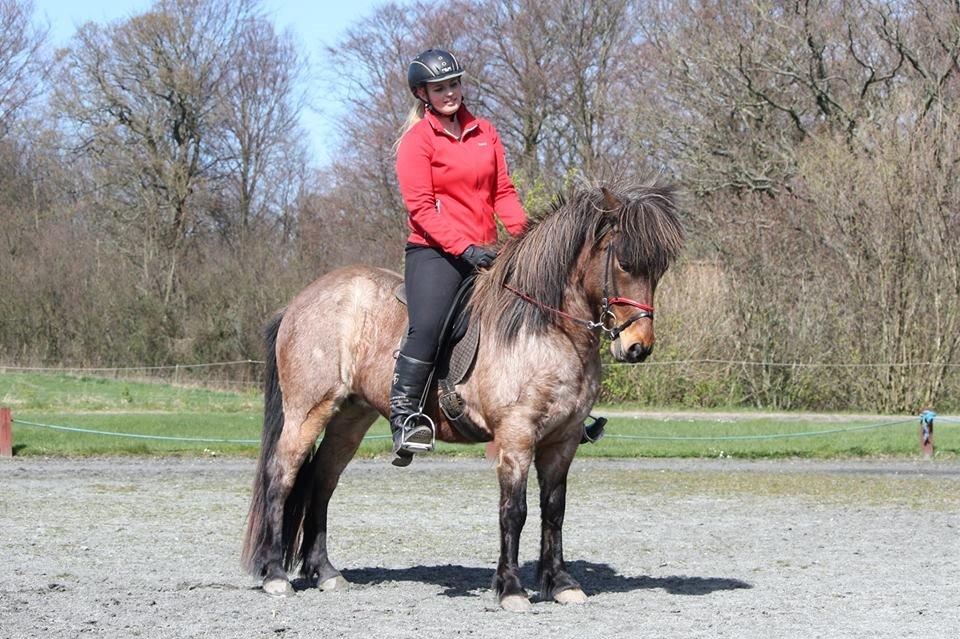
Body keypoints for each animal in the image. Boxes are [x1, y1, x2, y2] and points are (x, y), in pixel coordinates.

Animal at [244, 178, 688, 612]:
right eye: (624, 263)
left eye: (660, 270)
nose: (638, 347)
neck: (546, 327)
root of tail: (299, 301)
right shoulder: (516, 434)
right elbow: (514, 510)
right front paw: (511, 590)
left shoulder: (562, 440)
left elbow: (554, 509)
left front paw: (561, 584)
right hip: (308, 411)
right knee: (280, 476)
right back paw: (275, 575)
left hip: (350, 418)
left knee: (323, 480)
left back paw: (325, 572)